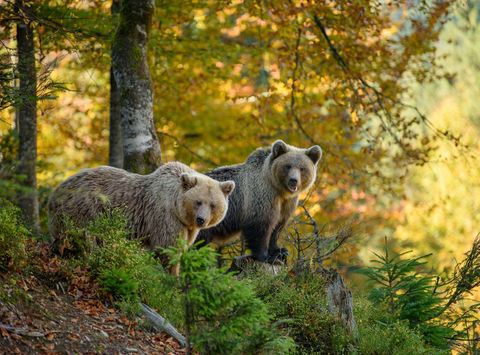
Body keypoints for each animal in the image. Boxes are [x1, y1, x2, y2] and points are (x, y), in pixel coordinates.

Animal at [48, 163, 236, 272]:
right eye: (198, 202)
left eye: (213, 205)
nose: (201, 220)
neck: (177, 208)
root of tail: (58, 189)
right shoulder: (165, 218)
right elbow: (167, 248)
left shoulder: (187, 228)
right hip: (87, 210)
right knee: (84, 237)